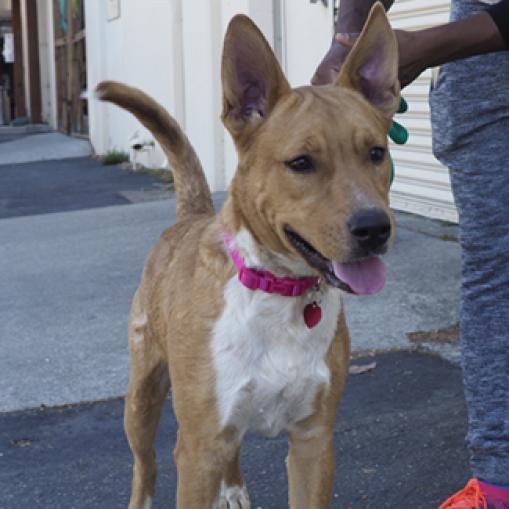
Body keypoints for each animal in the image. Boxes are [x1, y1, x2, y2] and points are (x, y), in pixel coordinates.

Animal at [95, 4, 396, 508]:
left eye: (376, 153)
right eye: (301, 163)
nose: (374, 228)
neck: (278, 288)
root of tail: (191, 214)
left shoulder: (314, 441)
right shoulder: (197, 450)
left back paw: (233, 488)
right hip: (142, 398)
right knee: (145, 464)